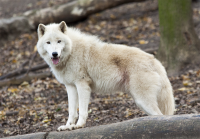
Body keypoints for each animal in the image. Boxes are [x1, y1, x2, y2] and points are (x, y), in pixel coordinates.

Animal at [36, 21, 174, 131]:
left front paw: (79, 125)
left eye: (59, 41)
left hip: (143, 101)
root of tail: (155, 61)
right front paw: (68, 126)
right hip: (141, 102)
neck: (71, 52)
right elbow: (72, 112)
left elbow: (82, 111)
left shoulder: (82, 85)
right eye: (48, 42)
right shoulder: (70, 86)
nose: (54, 54)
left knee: (160, 116)